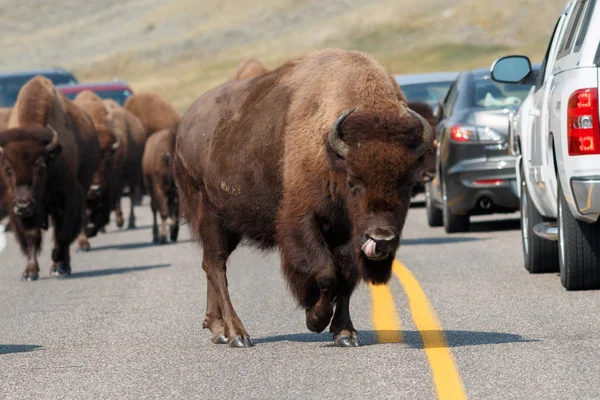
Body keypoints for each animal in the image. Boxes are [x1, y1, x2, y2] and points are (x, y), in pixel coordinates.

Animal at [0, 76, 101, 280]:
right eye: (7, 168)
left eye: (40, 167)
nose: (23, 206)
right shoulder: (22, 210)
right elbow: (31, 236)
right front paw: (30, 272)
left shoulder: (68, 196)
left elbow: (62, 235)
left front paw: (58, 262)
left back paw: (60, 265)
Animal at [173, 49, 432, 346]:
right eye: (352, 181)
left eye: (408, 185)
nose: (381, 239)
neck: (331, 153)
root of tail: (184, 125)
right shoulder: (304, 222)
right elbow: (325, 273)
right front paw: (315, 319)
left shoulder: (347, 235)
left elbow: (346, 279)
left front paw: (345, 333)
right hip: (210, 214)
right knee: (216, 267)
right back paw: (238, 334)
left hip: (231, 224)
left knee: (211, 265)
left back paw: (217, 330)